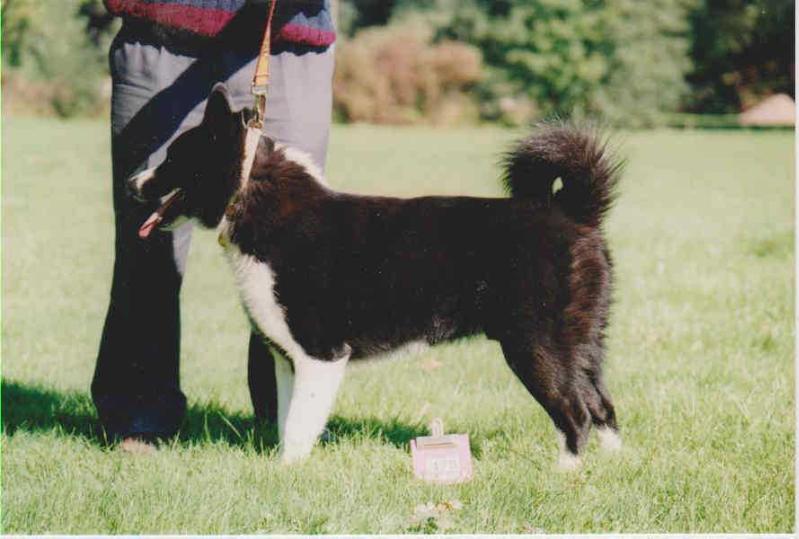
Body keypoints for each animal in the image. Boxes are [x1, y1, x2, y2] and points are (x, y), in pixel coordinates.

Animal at [131, 84, 624, 468]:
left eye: (173, 157)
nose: (132, 184)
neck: (254, 197)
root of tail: (574, 212)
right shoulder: (287, 359)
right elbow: (290, 419)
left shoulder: (319, 354)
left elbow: (299, 424)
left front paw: (286, 474)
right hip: (582, 346)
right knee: (602, 405)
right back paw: (614, 465)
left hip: (536, 346)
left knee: (575, 411)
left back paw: (565, 473)